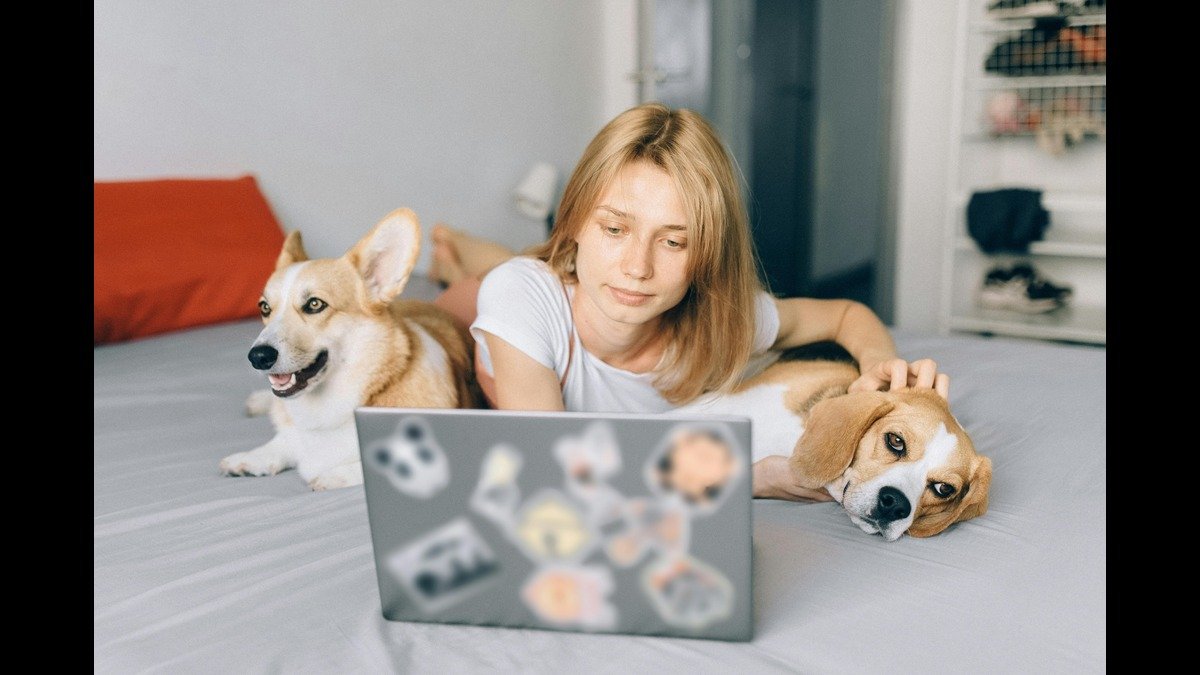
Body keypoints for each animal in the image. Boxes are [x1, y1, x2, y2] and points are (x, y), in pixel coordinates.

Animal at [218, 207, 480, 485]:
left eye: (315, 304)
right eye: (264, 307)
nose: (257, 357)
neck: (327, 412)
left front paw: (330, 476)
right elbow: (281, 442)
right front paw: (250, 458)